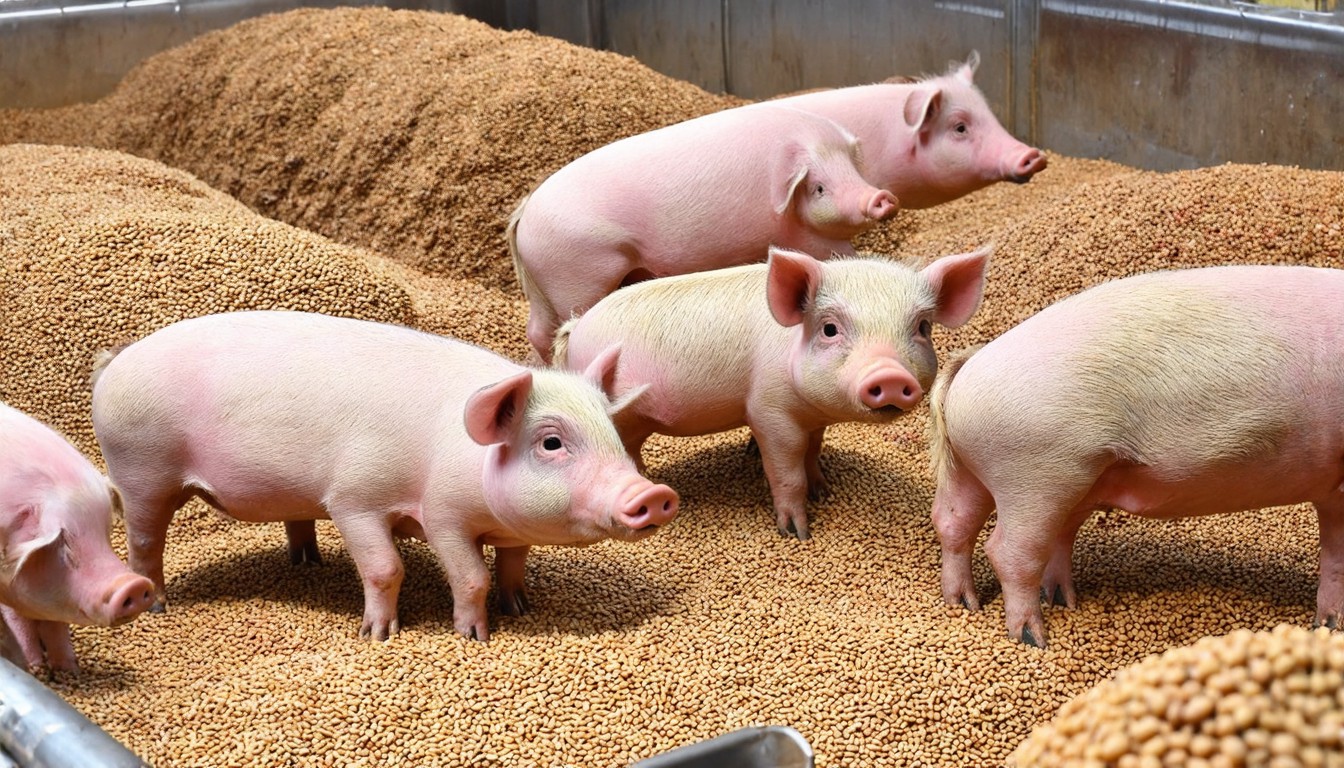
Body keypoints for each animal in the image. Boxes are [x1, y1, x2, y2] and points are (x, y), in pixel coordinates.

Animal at [0, 402, 156, 671]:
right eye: (64, 544)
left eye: (105, 532)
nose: (135, 585)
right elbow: (18, 620)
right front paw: (33, 666)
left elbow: (54, 624)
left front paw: (68, 668)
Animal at [89, 311, 679, 642]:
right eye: (551, 443)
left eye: (611, 431)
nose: (654, 494)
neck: (453, 453)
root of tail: (115, 362)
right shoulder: (368, 501)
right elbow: (421, 571)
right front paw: (428, 636)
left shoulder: (508, 528)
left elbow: (512, 565)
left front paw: (521, 607)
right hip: (140, 467)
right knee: (145, 539)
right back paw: (157, 605)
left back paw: (307, 561)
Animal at [508, 104, 900, 360]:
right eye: (819, 187)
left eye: (853, 169)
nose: (880, 198)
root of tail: (525, 214)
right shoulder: (798, 233)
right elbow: (837, 253)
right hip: (577, 275)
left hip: (546, 282)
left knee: (537, 330)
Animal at [553, 246, 991, 540]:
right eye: (829, 329)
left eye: (922, 327)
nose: (891, 375)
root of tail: (576, 328)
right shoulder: (769, 412)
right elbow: (786, 471)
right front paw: (797, 532)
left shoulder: (813, 418)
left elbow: (813, 452)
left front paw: (824, 490)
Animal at [928, 265, 1344, 649]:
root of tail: (971, 361)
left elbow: (1335, 556)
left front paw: (1328, 625)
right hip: (1032, 471)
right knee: (1008, 551)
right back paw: (1033, 638)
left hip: (984, 470)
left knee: (956, 523)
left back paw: (978, 604)